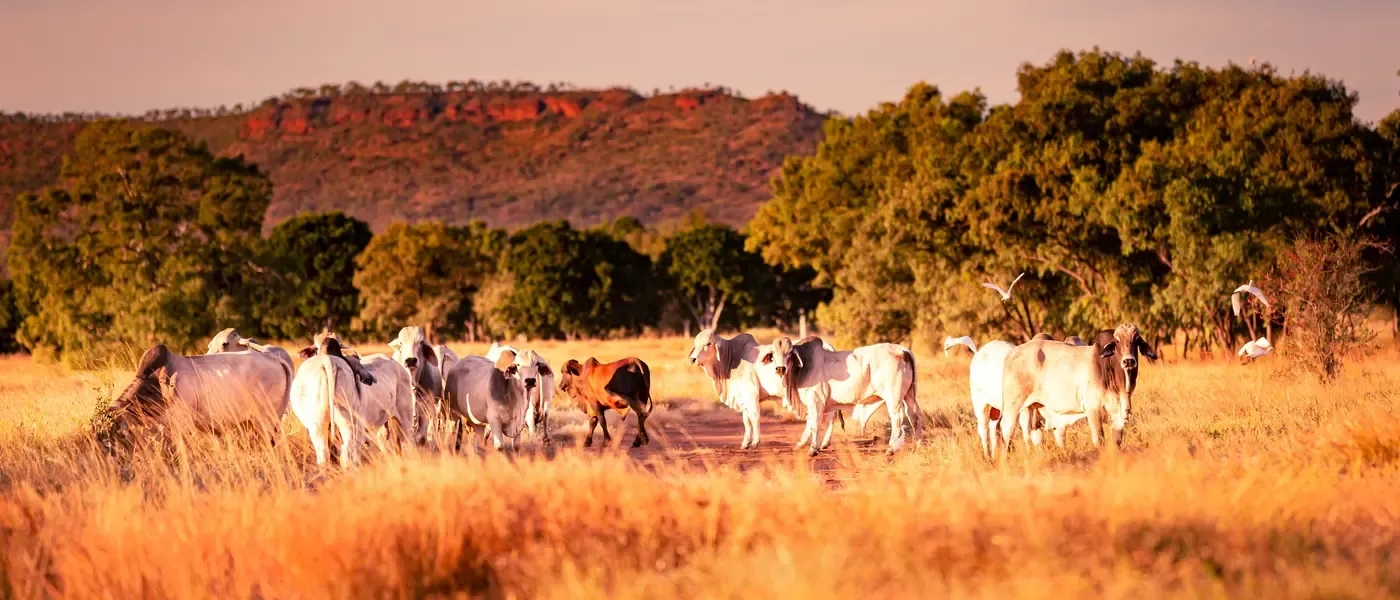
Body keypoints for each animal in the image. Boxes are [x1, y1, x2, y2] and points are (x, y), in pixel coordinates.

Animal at [764, 336, 922, 456]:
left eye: (789, 353)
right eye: (773, 354)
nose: (780, 369)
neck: (803, 367)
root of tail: (903, 350)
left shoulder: (815, 399)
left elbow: (814, 423)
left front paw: (813, 449)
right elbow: (810, 423)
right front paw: (801, 444)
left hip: (893, 398)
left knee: (897, 418)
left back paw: (891, 448)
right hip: (909, 395)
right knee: (915, 415)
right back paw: (918, 444)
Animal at [998, 324, 1157, 458]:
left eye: (1136, 341)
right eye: (1117, 341)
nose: (1128, 361)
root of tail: (1012, 353)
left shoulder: (1117, 413)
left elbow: (1117, 441)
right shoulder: (1093, 409)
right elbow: (1099, 440)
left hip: (1032, 407)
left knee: (1031, 433)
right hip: (1014, 405)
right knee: (1007, 430)